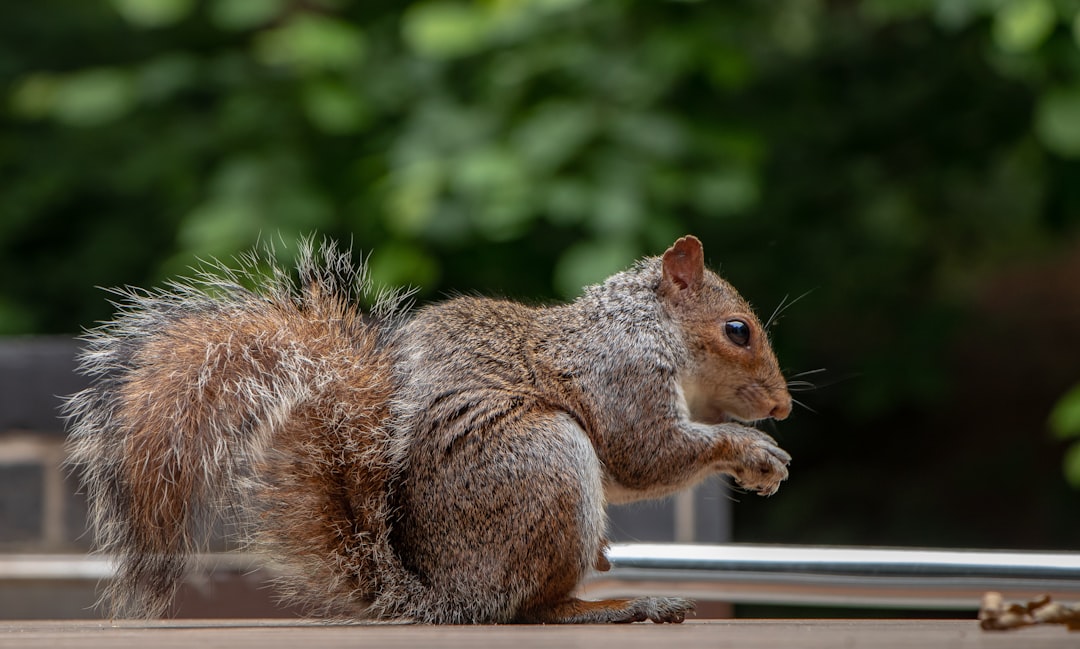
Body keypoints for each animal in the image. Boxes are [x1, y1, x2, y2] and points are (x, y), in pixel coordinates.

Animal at [65, 233, 794, 622]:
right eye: (737, 330)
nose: (783, 407)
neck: (644, 324)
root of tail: (451, 594)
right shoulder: (623, 374)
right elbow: (646, 454)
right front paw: (755, 451)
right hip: (547, 459)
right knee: (533, 609)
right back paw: (621, 606)